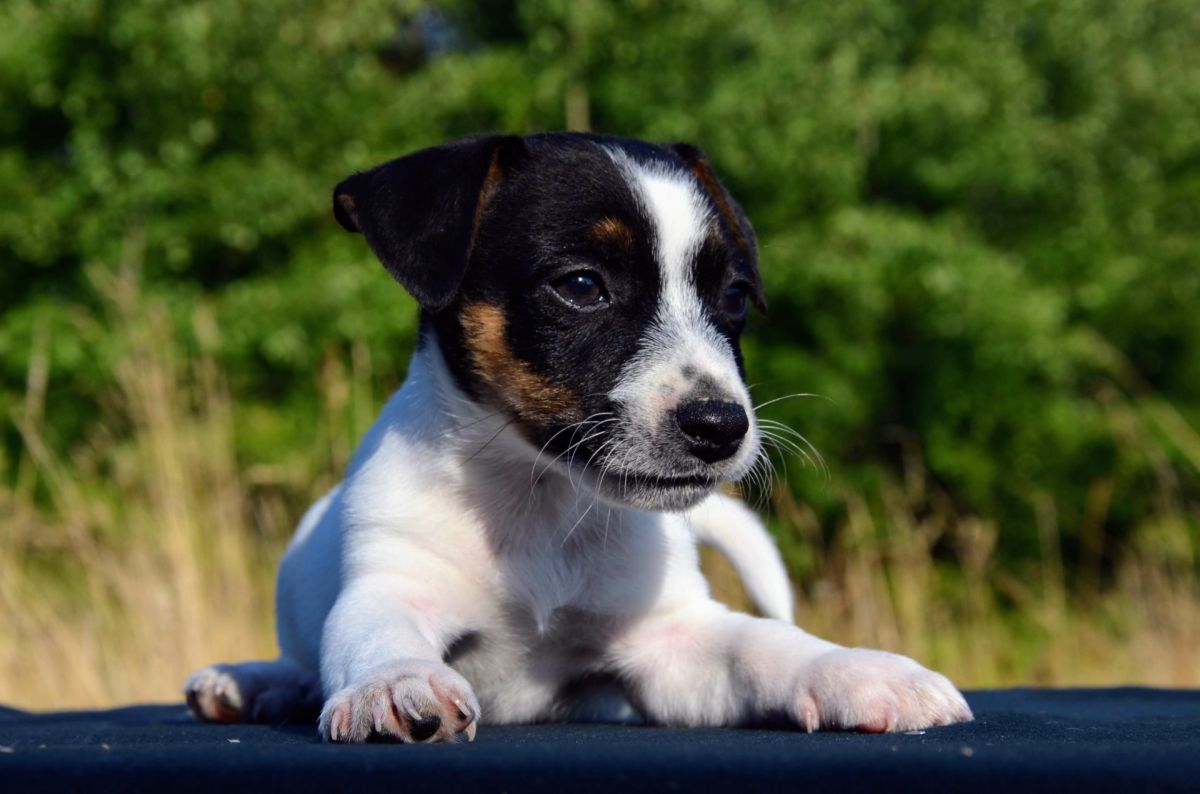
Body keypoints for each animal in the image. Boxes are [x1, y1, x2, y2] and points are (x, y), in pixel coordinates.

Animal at [184, 132, 972, 742]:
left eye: (734, 297)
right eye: (583, 286)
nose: (721, 426)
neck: (542, 504)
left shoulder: (670, 639)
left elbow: (763, 644)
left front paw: (858, 668)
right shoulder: (393, 584)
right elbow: (375, 634)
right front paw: (396, 682)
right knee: (302, 659)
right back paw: (254, 682)